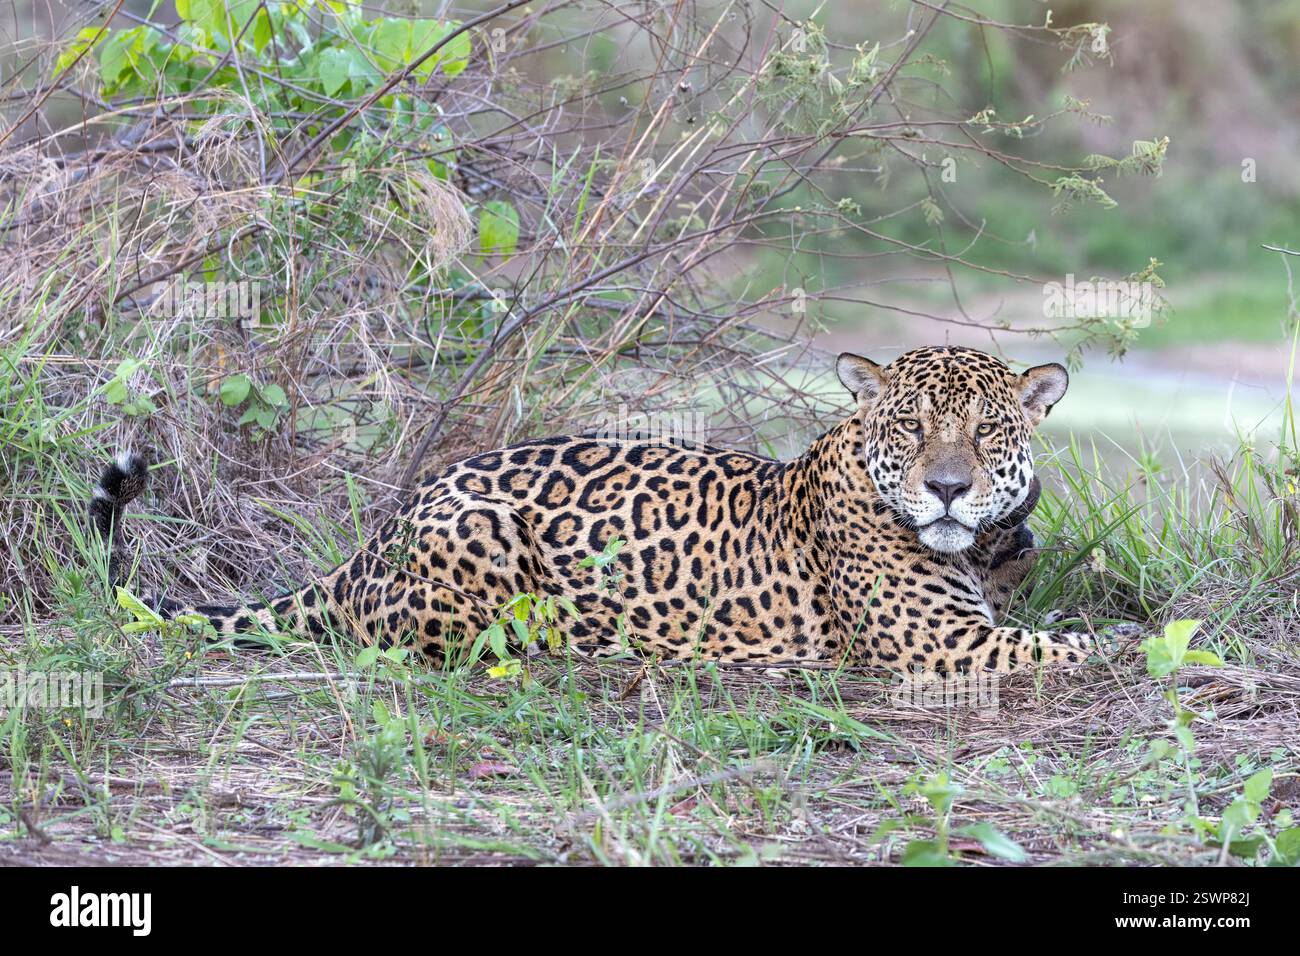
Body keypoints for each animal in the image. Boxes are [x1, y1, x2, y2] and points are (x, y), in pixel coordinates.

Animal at [90, 345, 1094, 673]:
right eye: (912, 427)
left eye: (986, 430)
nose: (949, 488)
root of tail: (369, 544)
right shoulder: (940, 645)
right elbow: (1074, 645)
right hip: (480, 532)